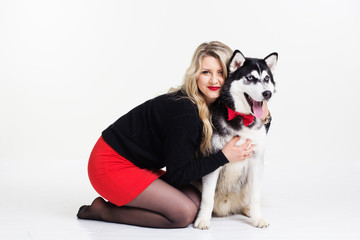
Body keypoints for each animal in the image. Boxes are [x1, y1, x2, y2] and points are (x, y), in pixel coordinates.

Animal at [194, 49, 278, 230]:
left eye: (267, 79)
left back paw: (249, 211)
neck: (242, 118)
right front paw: (203, 219)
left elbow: (255, 196)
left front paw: (257, 218)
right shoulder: (213, 159)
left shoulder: (255, 159)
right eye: (250, 78)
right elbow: (207, 197)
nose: (267, 93)